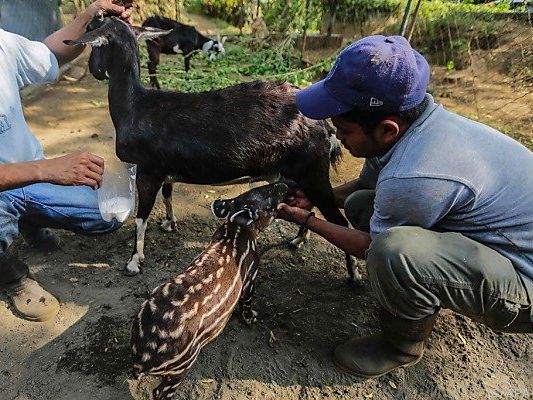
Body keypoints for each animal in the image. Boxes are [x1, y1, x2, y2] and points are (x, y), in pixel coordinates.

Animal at [63, 14, 362, 284]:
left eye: (93, 36)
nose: (94, 71)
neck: (135, 107)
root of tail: (324, 124)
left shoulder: (148, 170)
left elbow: (140, 216)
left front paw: (134, 262)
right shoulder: (165, 170)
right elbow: (168, 194)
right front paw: (169, 223)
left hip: (312, 171)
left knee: (339, 221)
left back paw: (354, 273)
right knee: (309, 203)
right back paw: (299, 239)